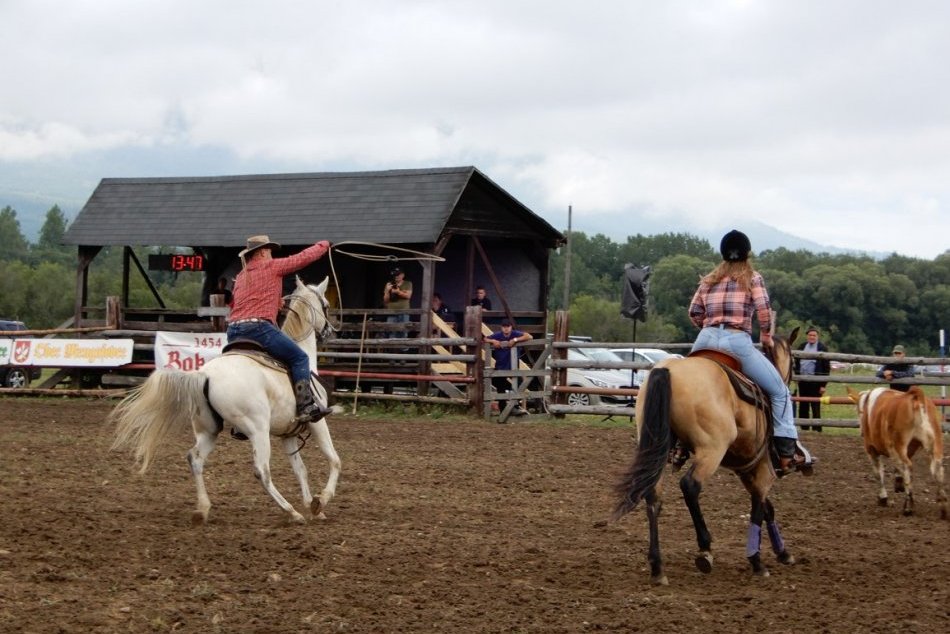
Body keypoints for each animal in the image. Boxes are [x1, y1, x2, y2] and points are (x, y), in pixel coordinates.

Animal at [111, 276, 342, 524]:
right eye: (326, 304)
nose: (330, 331)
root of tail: (205, 375)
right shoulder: (317, 422)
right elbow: (335, 460)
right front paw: (321, 501)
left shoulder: (287, 434)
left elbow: (301, 470)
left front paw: (313, 506)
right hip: (258, 430)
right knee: (262, 470)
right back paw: (291, 512)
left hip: (209, 429)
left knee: (195, 458)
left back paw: (202, 509)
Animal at [612, 326, 808, 584]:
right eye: (794, 362)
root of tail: (668, 370)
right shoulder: (762, 469)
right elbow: (759, 507)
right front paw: (757, 561)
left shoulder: (747, 470)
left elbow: (767, 508)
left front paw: (783, 553)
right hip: (711, 450)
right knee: (690, 485)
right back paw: (705, 549)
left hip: (657, 447)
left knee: (653, 494)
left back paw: (657, 566)